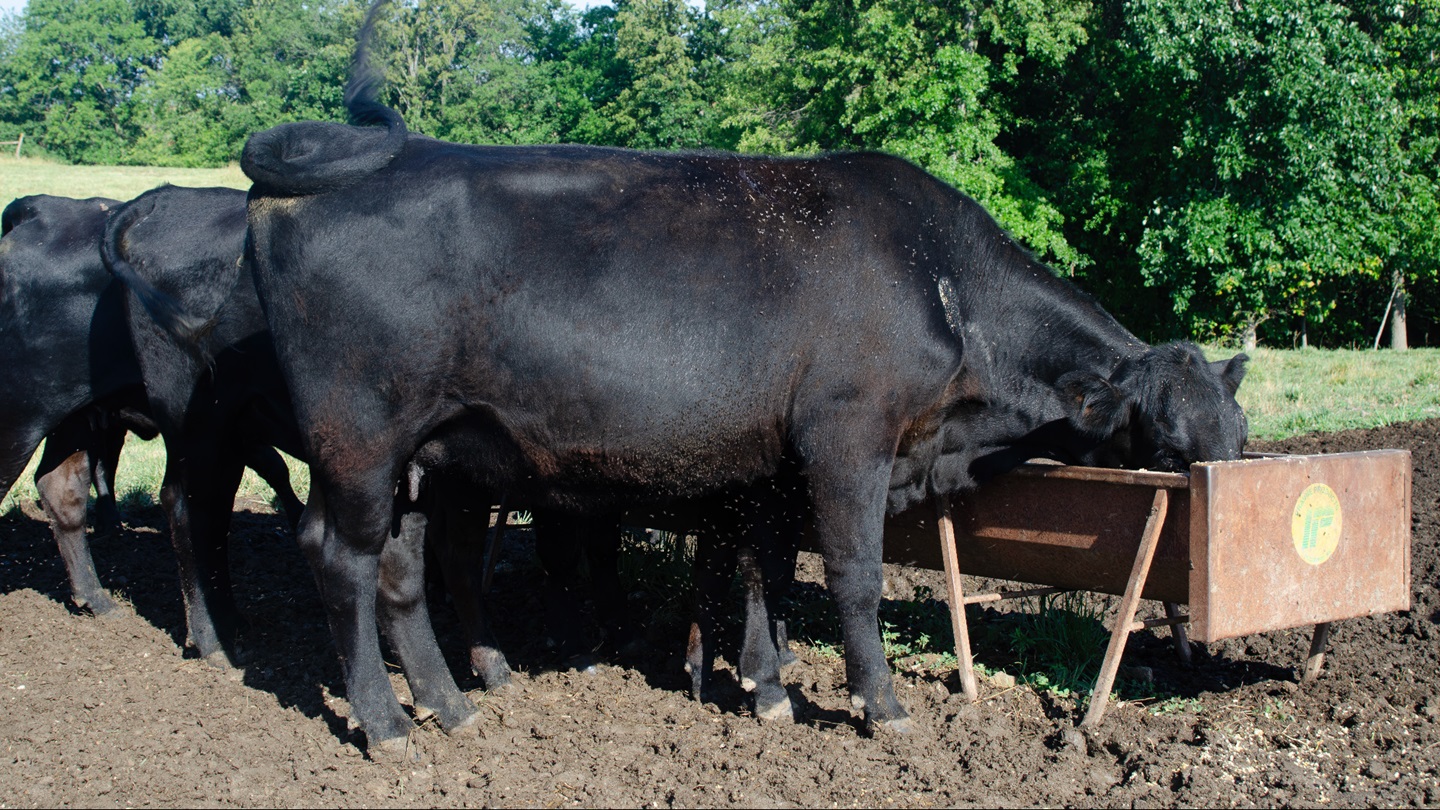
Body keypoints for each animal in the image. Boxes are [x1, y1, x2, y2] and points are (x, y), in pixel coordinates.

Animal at [237, 24, 1246, 750]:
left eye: (1236, 437)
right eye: (1165, 443)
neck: (943, 282)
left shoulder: (774, 462)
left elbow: (770, 566)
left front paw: (766, 685)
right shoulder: (848, 439)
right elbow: (851, 575)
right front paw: (879, 705)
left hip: (424, 453)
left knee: (401, 568)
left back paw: (451, 705)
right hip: (358, 438)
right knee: (339, 555)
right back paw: (386, 724)